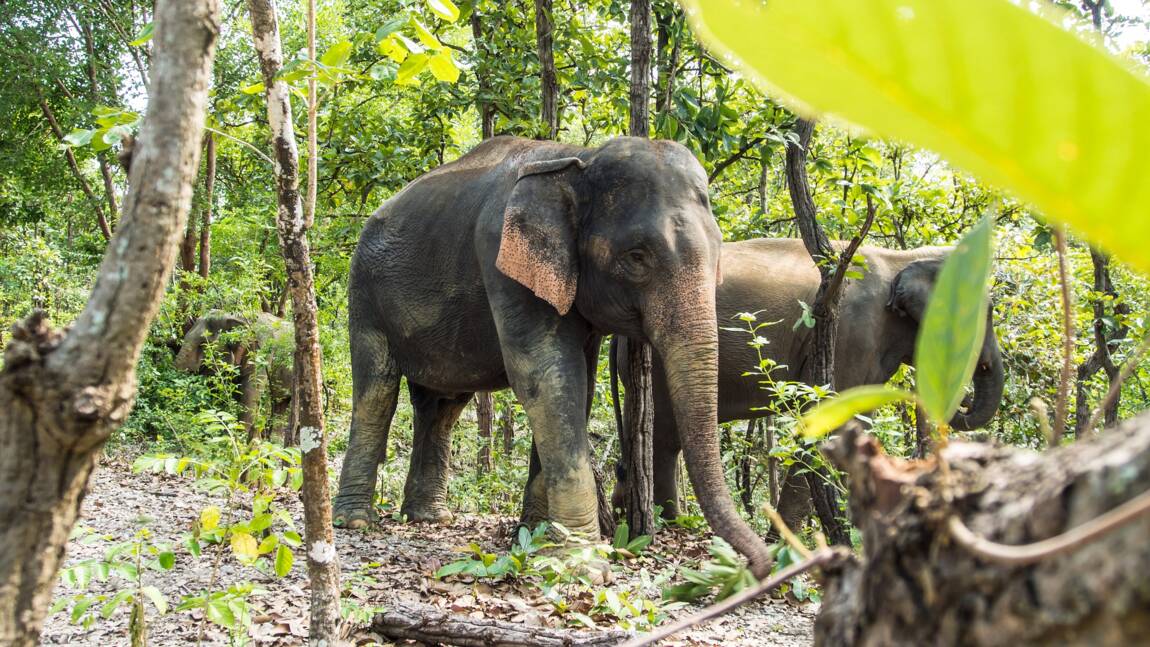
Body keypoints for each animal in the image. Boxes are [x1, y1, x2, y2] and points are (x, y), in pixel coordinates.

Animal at [174, 310, 294, 438]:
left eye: (203, 344)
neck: (236, 315)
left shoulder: (262, 353)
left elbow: (251, 393)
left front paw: (238, 438)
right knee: (281, 404)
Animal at [333, 135, 777, 576]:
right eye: (637, 256)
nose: (758, 566)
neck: (578, 157)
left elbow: (579, 383)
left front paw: (535, 535)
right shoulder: (502, 260)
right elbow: (548, 375)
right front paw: (579, 560)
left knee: (442, 406)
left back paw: (431, 518)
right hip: (364, 291)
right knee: (377, 390)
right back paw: (354, 521)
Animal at [611, 240, 1007, 519]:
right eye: (986, 312)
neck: (901, 257)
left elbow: (857, 425)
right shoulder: (851, 333)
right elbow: (830, 420)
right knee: (665, 438)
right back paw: (670, 522)